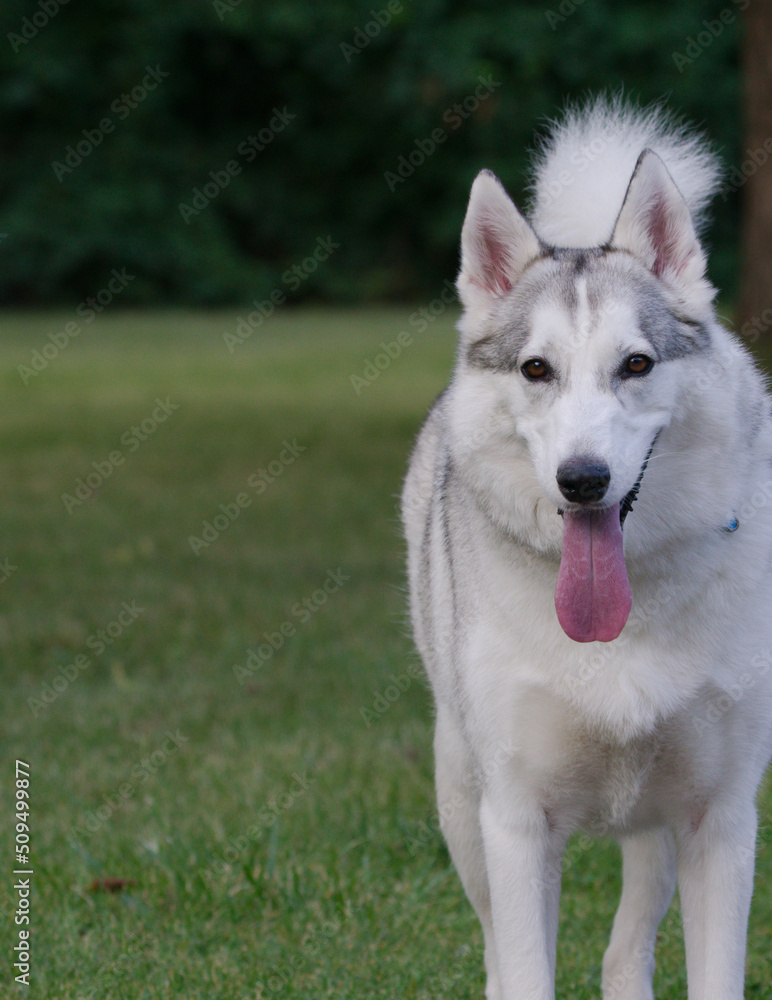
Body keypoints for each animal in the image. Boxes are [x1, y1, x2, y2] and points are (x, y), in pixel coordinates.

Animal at [402, 97, 772, 1000]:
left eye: (635, 364)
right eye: (537, 370)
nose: (582, 479)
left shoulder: (720, 820)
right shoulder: (516, 824)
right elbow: (523, 968)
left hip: (656, 830)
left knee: (623, 950)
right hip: (460, 798)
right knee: (497, 953)